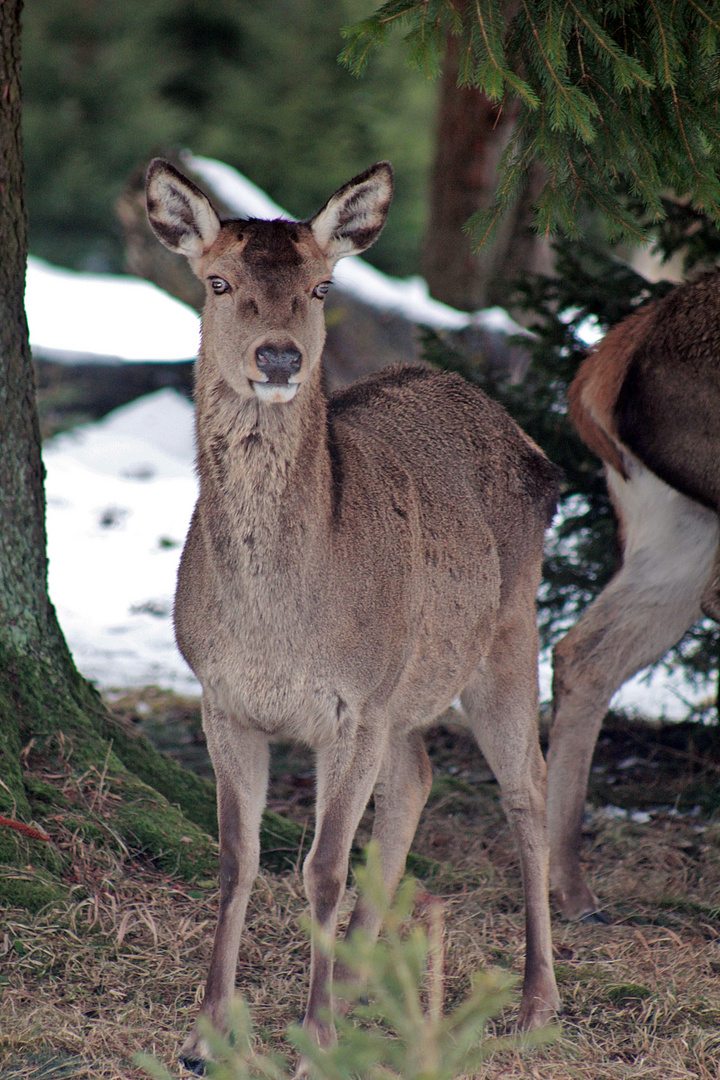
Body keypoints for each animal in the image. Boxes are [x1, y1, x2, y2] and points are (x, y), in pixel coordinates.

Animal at [144, 157, 561, 1071]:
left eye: (323, 288)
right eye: (218, 283)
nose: (278, 355)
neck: (278, 626)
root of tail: (536, 448)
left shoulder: (353, 705)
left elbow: (325, 869)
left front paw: (311, 1041)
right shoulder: (221, 697)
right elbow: (237, 859)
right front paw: (204, 1035)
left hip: (506, 631)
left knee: (528, 789)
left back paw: (536, 1000)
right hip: (406, 676)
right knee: (419, 776)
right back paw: (363, 977)